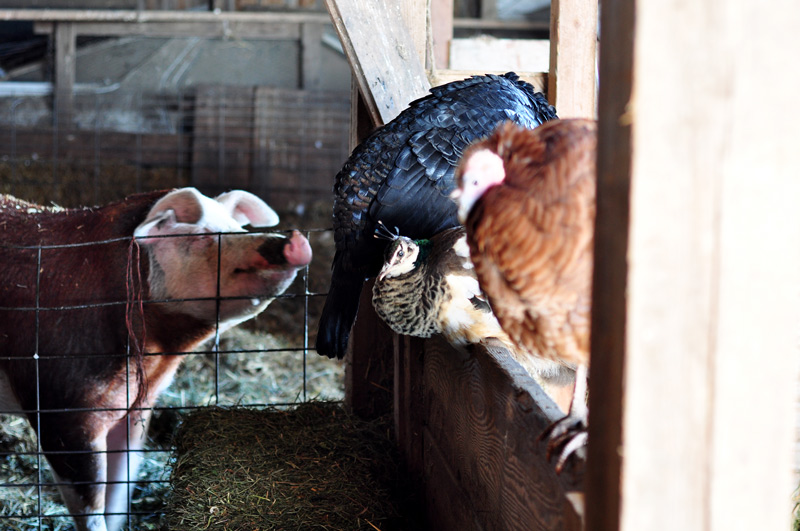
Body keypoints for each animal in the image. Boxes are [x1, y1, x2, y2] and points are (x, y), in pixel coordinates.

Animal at [0, 187, 312, 531]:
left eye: (236, 227)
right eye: (202, 235)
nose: (291, 239)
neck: (158, 352)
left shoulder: (138, 406)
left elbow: (121, 489)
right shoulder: (61, 407)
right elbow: (92, 507)